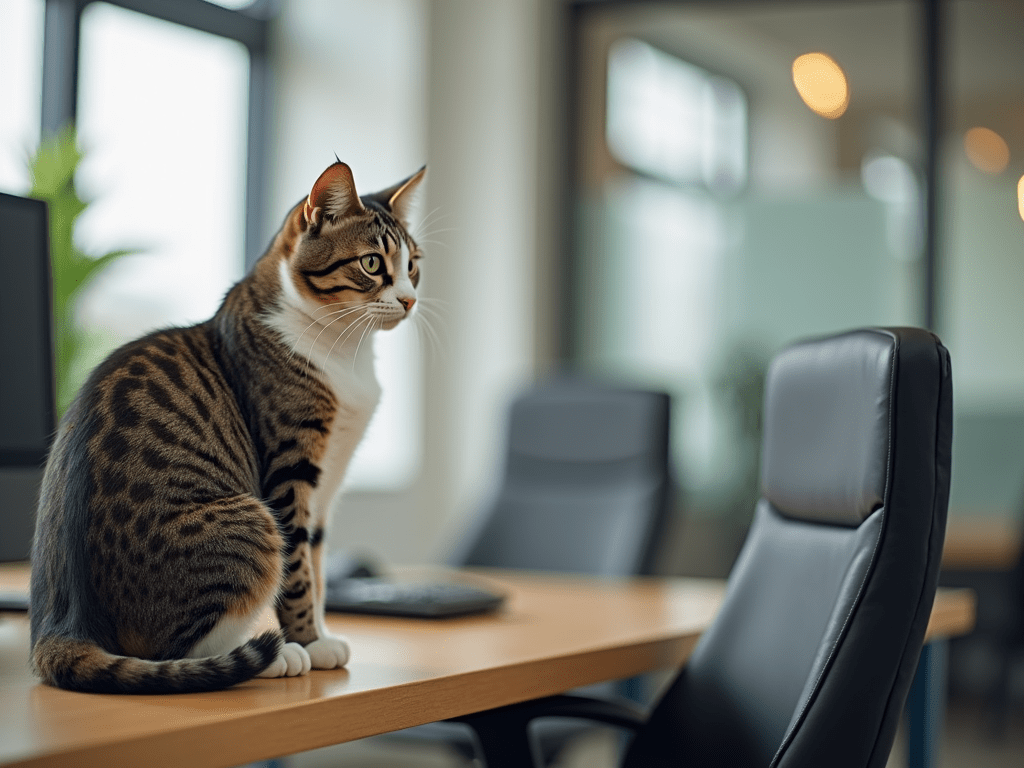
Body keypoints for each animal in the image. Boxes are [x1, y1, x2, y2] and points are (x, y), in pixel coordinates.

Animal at [28, 159, 425, 696]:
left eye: (413, 265)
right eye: (370, 263)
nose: (408, 300)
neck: (345, 352)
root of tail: (64, 627)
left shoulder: (327, 485)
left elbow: (319, 565)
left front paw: (321, 633)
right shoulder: (289, 472)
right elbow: (300, 572)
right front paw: (309, 641)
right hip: (251, 523)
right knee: (172, 649)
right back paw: (273, 657)